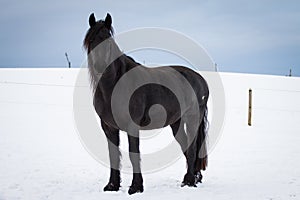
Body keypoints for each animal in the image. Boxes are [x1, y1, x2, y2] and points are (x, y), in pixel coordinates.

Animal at [82, 13, 209, 195]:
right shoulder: (109, 127)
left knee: (191, 149)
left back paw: (190, 181)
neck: (115, 85)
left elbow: (133, 154)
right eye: (91, 40)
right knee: (186, 148)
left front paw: (136, 187)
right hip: (176, 123)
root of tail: (200, 79)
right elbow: (113, 155)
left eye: (108, 39)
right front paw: (112, 185)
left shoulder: (132, 126)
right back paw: (191, 178)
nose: (100, 65)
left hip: (192, 119)